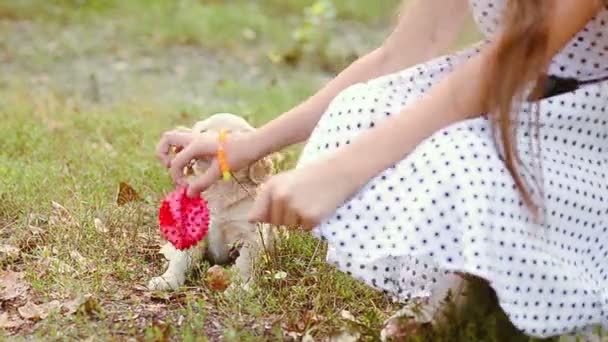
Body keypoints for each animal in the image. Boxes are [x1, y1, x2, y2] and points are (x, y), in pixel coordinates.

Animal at [149, 113, 276, 290]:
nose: (204, 142)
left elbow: (244, 264)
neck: (219, 189)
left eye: (228, 134)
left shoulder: (250, 235)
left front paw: (239, 288)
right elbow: (181, 258)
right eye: (202, 131)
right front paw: (168, 279)